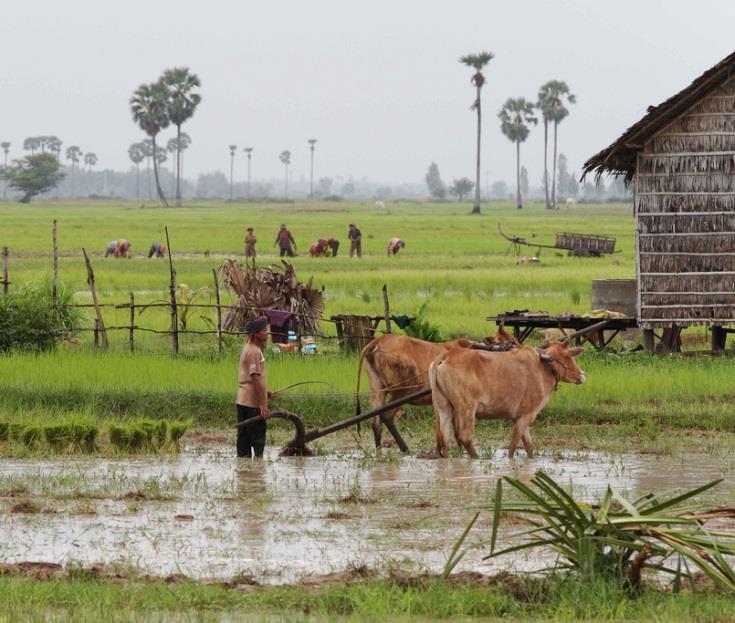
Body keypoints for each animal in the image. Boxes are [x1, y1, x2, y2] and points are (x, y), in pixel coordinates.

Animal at [356, 326, 516, 448]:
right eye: (511, 342)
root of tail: (378, 341)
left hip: (377, 389)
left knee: (376, 422)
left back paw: (379, 452)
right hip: (402, 389)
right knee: (387, 416)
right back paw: (405, 449)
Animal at [428, 342, 584, 458]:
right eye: (568, 356)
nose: (582, 375)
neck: (544, 367)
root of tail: (448, 354)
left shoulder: (519, 417)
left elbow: (529, 447)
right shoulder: (527, 415)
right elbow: (513, 446)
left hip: (443, 406)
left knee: (445, 438)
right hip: (467, 407)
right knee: (465, 437)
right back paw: (477, 458)